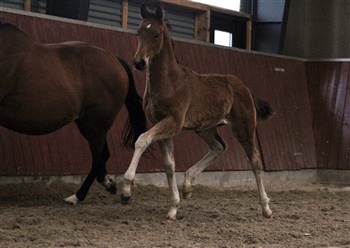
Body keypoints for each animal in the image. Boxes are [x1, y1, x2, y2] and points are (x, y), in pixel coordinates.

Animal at [0, 20, 147, 203]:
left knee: (99, 158)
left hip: (94, 124)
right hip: (92, 125)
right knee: (102, 156)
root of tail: (115, 59)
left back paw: (80, 195)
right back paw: (104, 186)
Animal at [121, 4, 274, 220]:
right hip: (205, 128)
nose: (139, 62)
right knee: (219, 146)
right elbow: (169, 164)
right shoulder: (161, 124)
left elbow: (142, 140)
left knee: (255, 161)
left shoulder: (173, 123)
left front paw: (126, 191)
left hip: (244, 128)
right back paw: (187, 186)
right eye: (138, 32)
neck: (169, 82)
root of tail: (244, 87)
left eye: (157, 34)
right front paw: (173, 208)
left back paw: (266, 208)